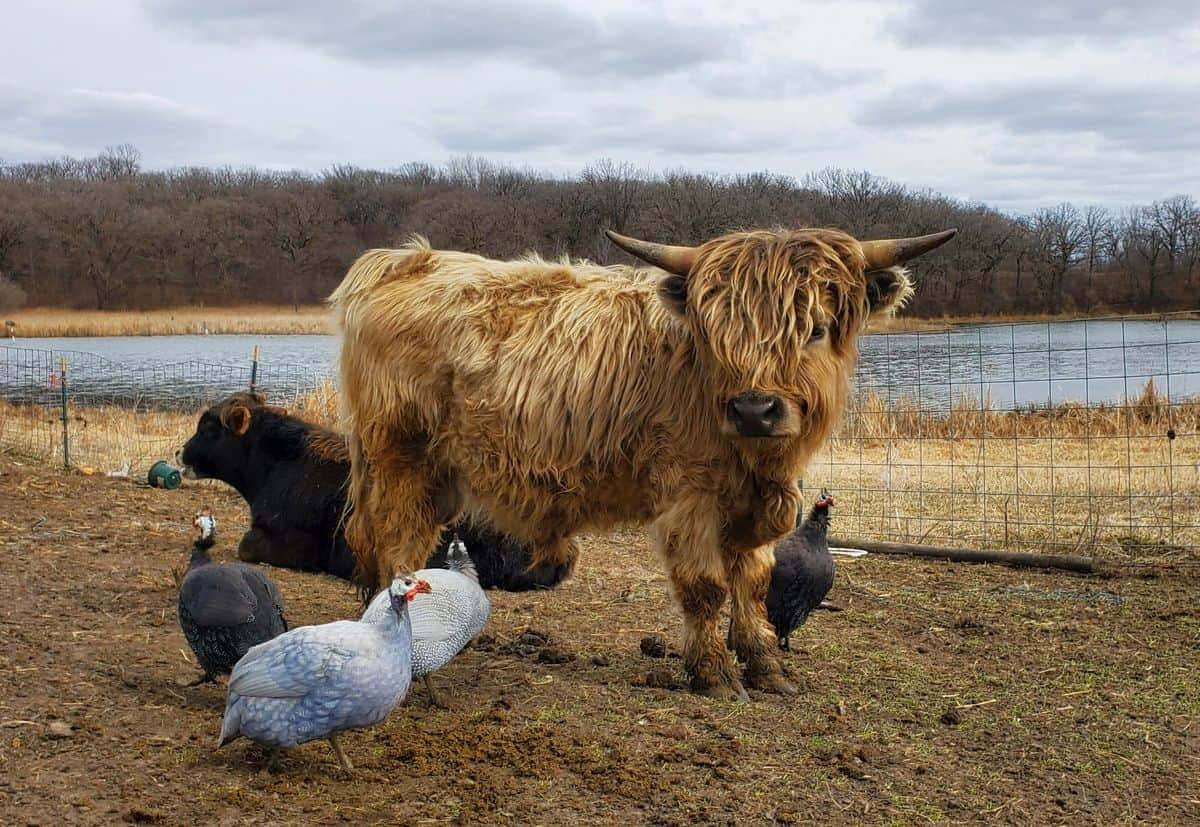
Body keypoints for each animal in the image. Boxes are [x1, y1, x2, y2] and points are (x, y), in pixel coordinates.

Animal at [330, 225, 955, 700]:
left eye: (818, 330)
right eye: (716, 335)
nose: (755, 408)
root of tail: (404, 260)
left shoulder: (754, 508)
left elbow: (753, 583)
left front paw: (765, 666)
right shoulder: (690, 496)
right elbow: (705, 587)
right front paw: (716, 675)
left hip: (440, 474)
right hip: (401, 460)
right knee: (397, 547)